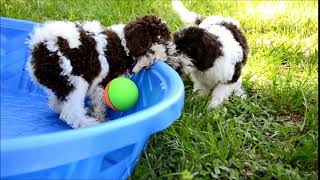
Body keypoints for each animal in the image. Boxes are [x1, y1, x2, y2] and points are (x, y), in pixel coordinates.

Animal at [27, 15, 171, 128]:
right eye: (160, 40)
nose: (168, 55)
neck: (124, 43)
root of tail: (43, 46)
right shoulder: (103, 83)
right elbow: (99, 103)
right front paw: (101, 119)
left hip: (60, 82)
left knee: (57, 101)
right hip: (76, 81)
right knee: (71, 112)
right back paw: (88, 123)